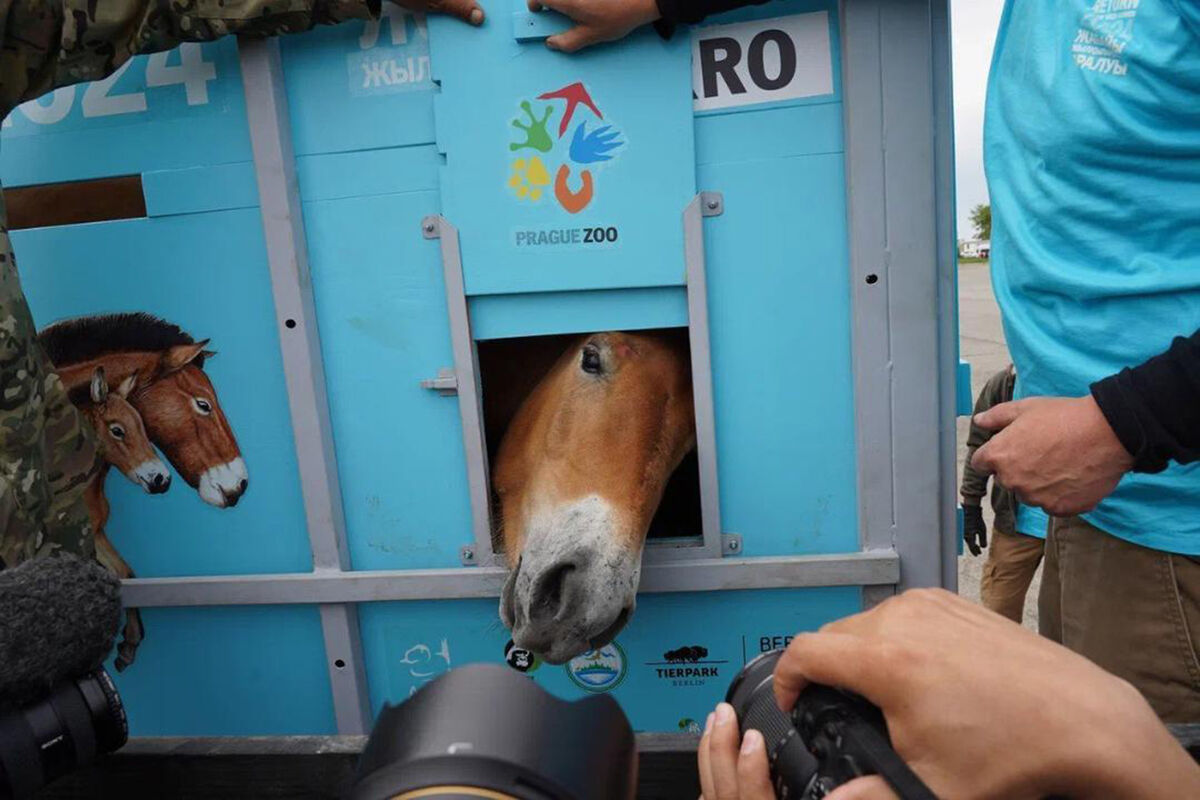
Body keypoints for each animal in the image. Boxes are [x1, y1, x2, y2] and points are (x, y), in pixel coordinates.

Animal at [73, 367, 172, 671]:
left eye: (142, 424)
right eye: (117, 430)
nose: (161, 480)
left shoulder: (95, 535)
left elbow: (125, 574)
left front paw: (129, 645)